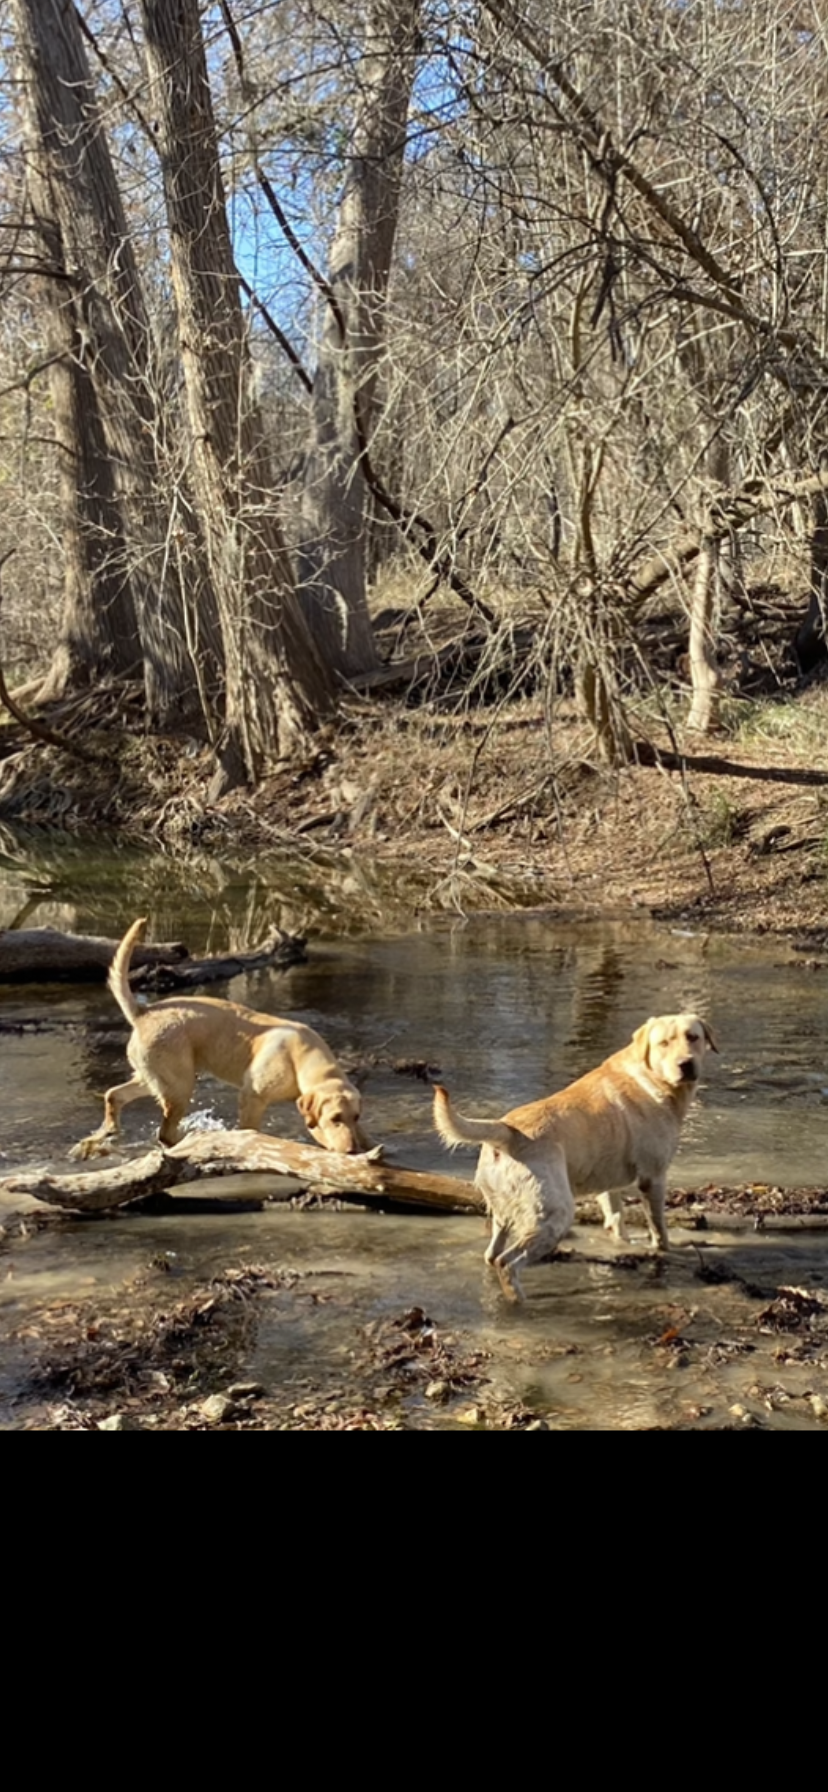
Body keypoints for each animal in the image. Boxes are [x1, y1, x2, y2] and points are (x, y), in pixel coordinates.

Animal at [71, 917, 367, 1159]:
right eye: (335, 1118)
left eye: (356, 1116)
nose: (352, 1152)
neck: (301, 1058)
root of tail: (143, 1012)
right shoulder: (252, 1097)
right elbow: (250, 1129)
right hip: (180, 1084)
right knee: (164, 1132)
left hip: (158, 1078)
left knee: (114, 1095)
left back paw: (106, 1133)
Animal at [434, 1013, 717, 1299]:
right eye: (664, 1043)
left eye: (693, 1037)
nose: (686, 1064)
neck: (650, 1077)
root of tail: (507, 1130)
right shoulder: (654, 1177)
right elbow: (659, 1230)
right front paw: (664, 1250)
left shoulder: (609, 1184)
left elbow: (616, 1219)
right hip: (555, 1215)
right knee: (508, 1262)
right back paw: (520, 1301)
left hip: (505, 1213)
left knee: (492, 1255)